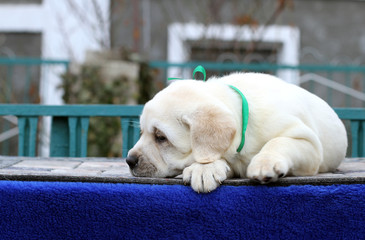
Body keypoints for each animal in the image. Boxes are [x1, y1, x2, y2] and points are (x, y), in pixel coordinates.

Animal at [126, 72, 346, 192]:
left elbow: (278, 142)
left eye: (161, 137)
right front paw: (205, 169)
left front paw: (264, 163)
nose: (129, 160)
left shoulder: (308, 143)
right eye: (142, 133)